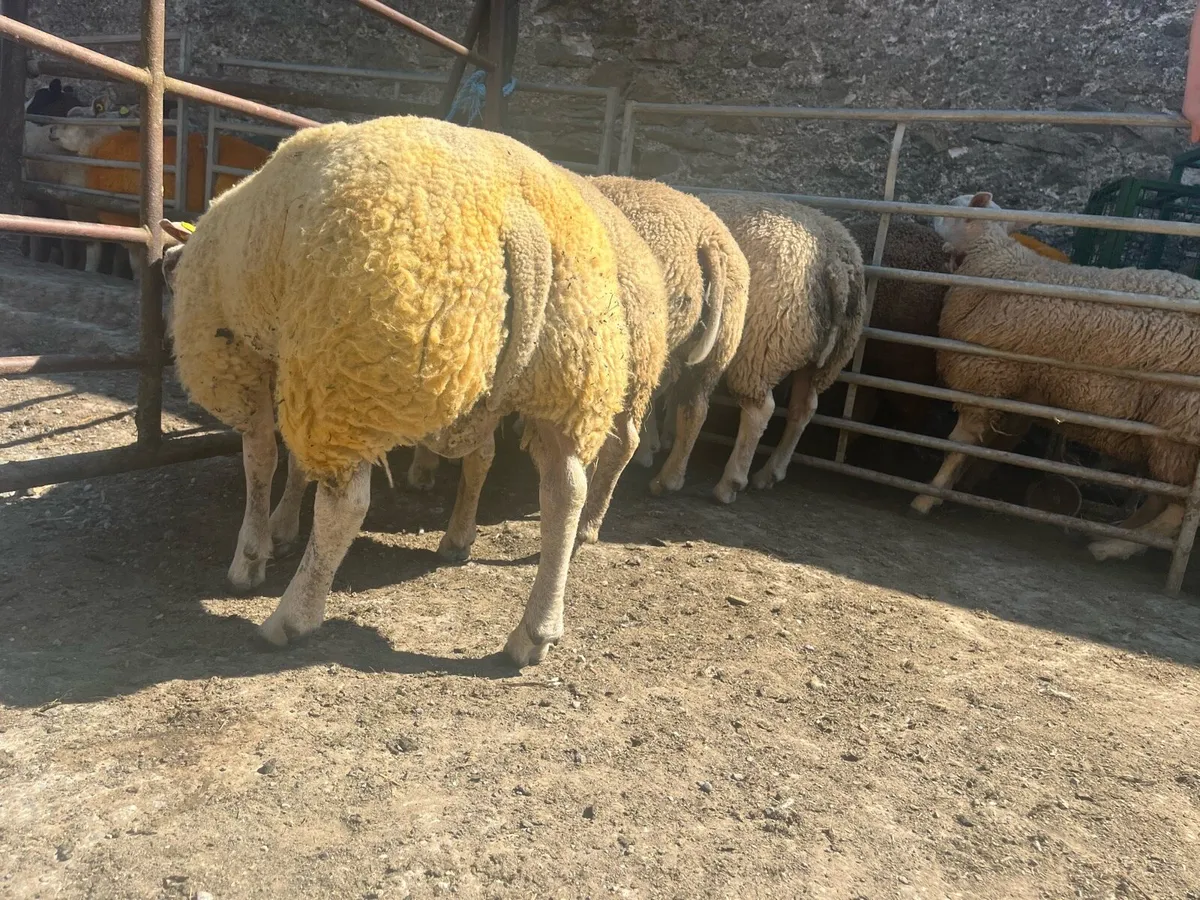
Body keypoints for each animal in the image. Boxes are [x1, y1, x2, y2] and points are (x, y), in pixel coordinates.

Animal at [159, 115, 632, 667]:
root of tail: (520, 220)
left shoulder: (244, 361)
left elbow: (260, 460)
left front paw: (251, 555)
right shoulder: (295, 363)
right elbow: (291, 463)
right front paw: (282, 527)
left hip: (352, 367)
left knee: (346, 507)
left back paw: (291, 617)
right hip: (568, 375)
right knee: (563, 490)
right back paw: (532, 631)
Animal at [691, 192, 867, 504]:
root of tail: (834, 264)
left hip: (761, 346)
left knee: (760, 410)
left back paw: (729, 484)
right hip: (819, 356)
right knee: (804, 407)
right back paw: (769, 473)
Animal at [910, 191, 1200, 562]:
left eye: (952, 208)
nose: (923, 212)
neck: (994, 261)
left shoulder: (982, 377)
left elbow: (955, 447)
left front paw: (928, 495)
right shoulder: (1009, 390)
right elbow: (980, 448)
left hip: (1180, 424)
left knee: (1180, 510)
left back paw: (1115, 547)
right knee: (1160, 497)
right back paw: (1119, 533)